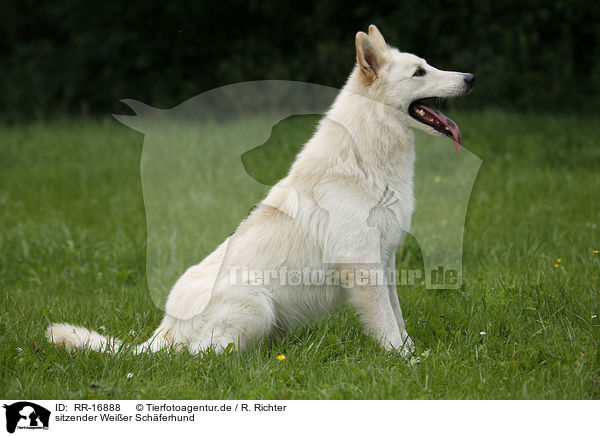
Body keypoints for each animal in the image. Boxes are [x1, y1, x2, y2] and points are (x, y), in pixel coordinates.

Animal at [48, 24, 474, 358]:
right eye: (419, 72)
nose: (470, 77)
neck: (365, 159)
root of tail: (163, 332)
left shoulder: (383, 261)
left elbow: (398, 320)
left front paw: (414, 355)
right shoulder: (363, 266)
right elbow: (387, 327)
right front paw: (407, 364)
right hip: (256, 304)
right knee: (204, 356)